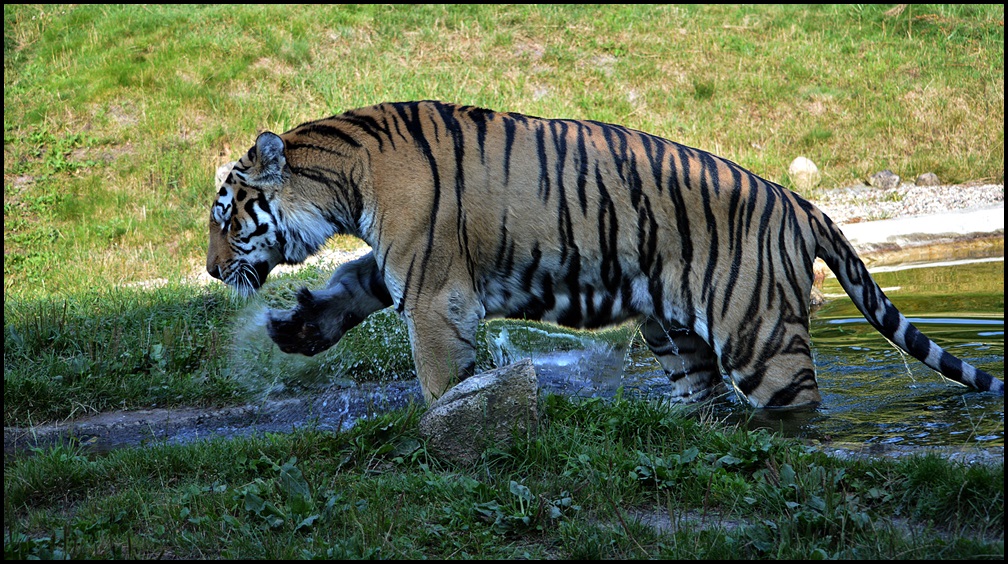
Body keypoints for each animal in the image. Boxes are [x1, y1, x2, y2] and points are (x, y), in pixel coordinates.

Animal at [202, 100, 999, 404]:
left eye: (225, 216)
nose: (210, 270)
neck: (343, 178)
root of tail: (795, 199)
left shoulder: (435, 294)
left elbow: (438, 381)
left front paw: (437, 433)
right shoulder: (409, 267)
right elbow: (352, 276)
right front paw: (297, 328)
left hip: (763, 338)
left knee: (794, 406)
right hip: (678, 336)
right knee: (708, 398)